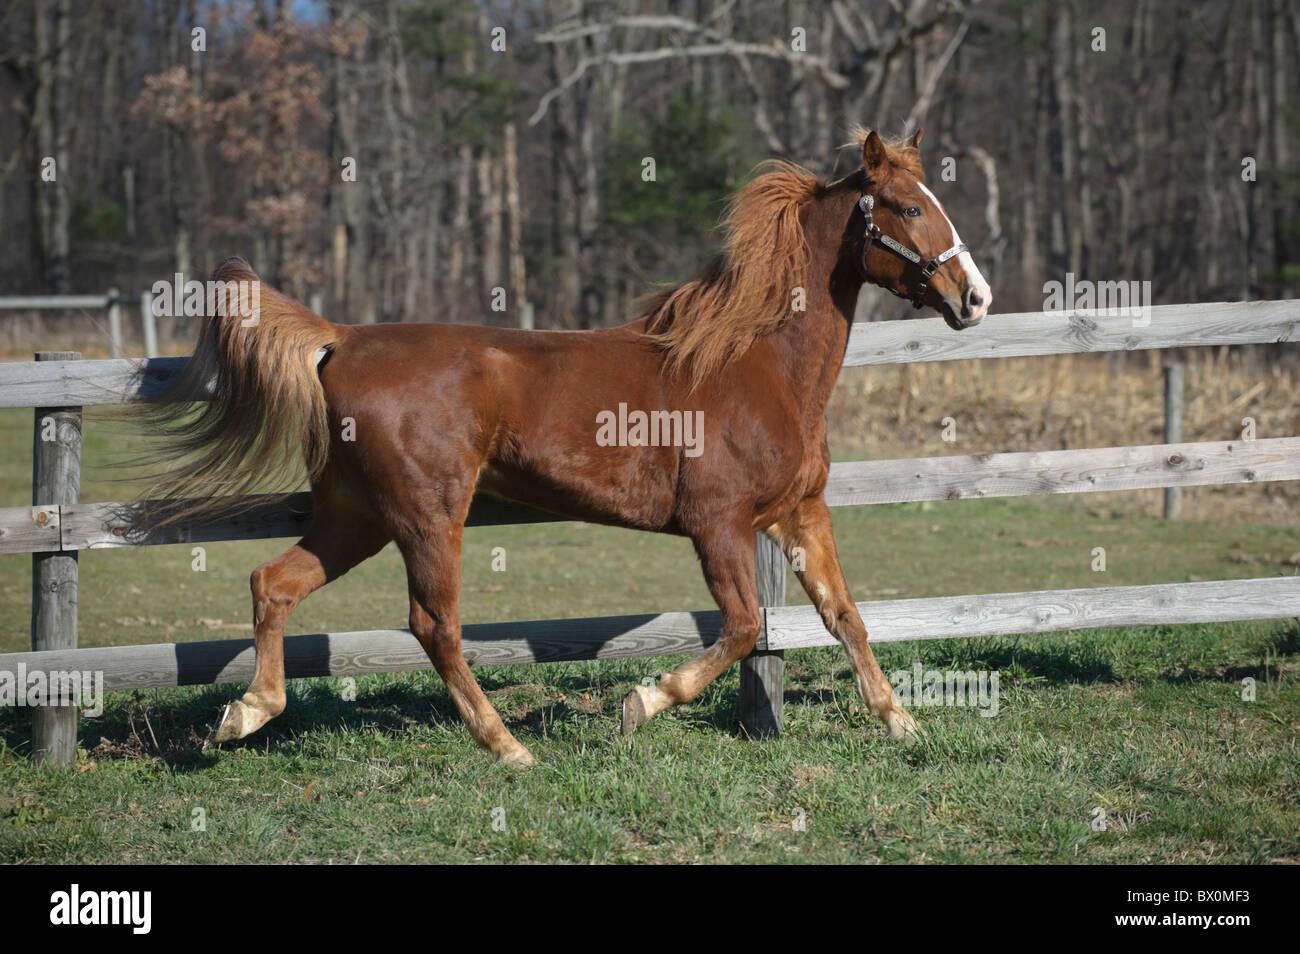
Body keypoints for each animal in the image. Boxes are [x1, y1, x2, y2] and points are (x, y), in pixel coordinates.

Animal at [143, 128, 991, 766]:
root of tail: (340, 340)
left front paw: (901, 722)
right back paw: (507, 747)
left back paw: (245, 714)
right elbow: (745, 626)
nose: (975, 297)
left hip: (356, 515)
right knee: (433, 625)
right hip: (426, 514)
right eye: (909, 206)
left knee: (273, 583)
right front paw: (639, 704)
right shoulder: (719, 523)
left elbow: (845, 615)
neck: (755, 361)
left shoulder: (798, 514)